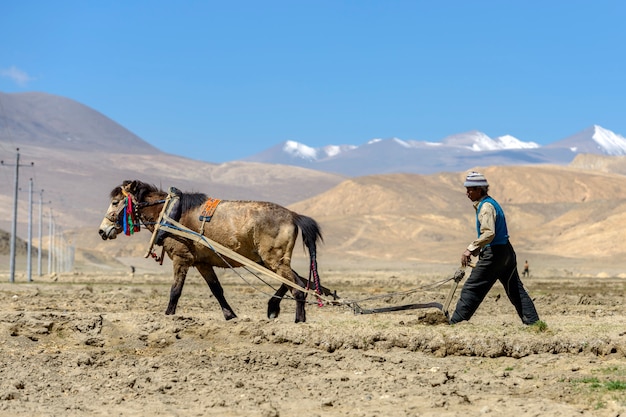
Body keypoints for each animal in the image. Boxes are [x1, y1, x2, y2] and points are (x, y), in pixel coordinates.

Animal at [98, 179, 322, 322]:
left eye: (115, 202)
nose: (102, 230)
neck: (170, 213)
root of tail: (293, 215)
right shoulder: (202, 263)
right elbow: (217, 290)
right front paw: (230, 316)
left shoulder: (181, 258)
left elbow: (175, 290)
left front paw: (168, 316)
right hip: (270, 260)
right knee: (298, 282)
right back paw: (276, 309)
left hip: (273, 260)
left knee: (297, 286)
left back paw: (297, 320)